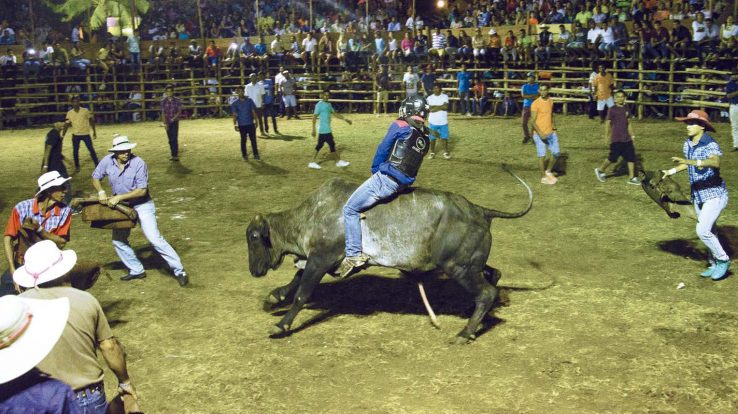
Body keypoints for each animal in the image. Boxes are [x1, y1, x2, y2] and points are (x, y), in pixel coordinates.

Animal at [246, 165, 528, 342]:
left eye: (254, 237)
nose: (253, 271)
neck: (311, 214)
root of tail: (480, 210)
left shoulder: (321, 258)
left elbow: (302, 293)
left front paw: (281, 325)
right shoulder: (314, 260)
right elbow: (294, 282)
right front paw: (274, 297)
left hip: (458, 266)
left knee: (487, 292)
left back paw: (465, 332)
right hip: (469, 264)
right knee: (494, 274)